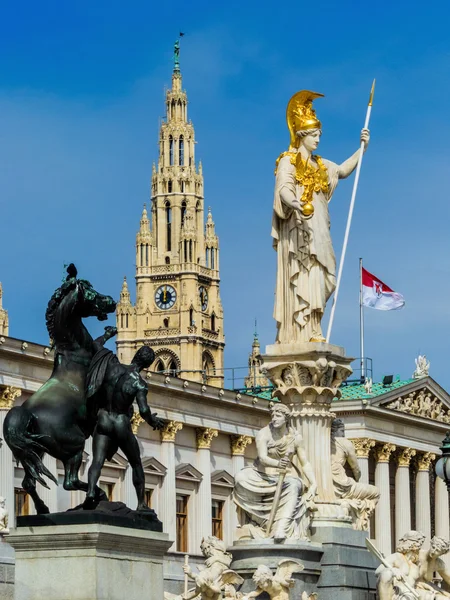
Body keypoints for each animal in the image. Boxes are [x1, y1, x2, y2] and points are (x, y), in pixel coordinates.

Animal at [3, 264, 116, 512]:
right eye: (89, 289)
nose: (111, 301)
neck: (73, 351)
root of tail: (25, 414)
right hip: (74, 445)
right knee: (69, 482)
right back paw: (96, 495)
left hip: (34, 451)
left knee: (29, 482)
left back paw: (44, 509)